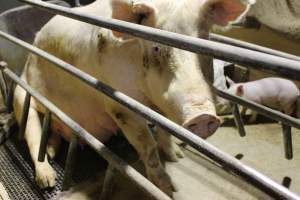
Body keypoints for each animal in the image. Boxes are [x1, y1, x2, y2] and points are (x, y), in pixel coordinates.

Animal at [12, 0, 254, 195]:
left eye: (203, 40)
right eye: (156, 48)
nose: (202, 116)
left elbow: (165, 133)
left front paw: (177, 157)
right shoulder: (120, 105)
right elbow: (147, 145)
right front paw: (168, 189)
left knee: (49, 134)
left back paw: (52, 152)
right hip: (20, 95)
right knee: (32, 134)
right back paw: (47, 180)